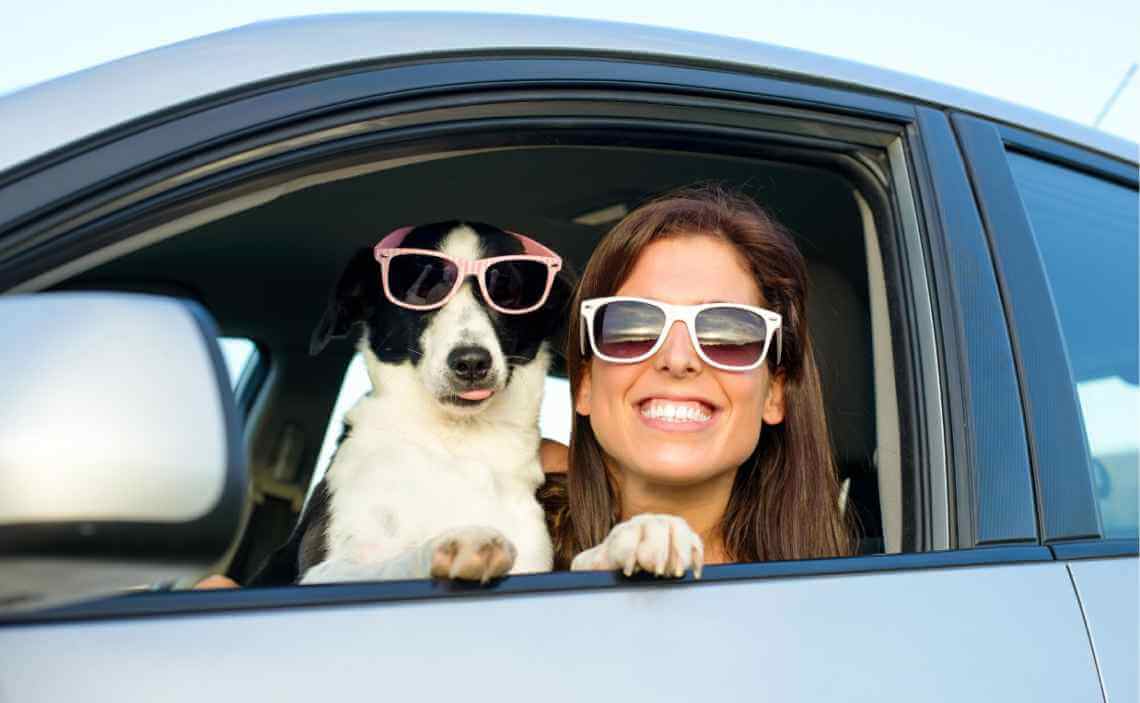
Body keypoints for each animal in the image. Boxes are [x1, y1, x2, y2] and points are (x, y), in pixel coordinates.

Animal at [250, 222, 570, 583]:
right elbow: (391, 563)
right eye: (422, 287)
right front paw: (450, 548)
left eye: (506, 287)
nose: (471, 362)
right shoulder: (321, 571)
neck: (456, 443)